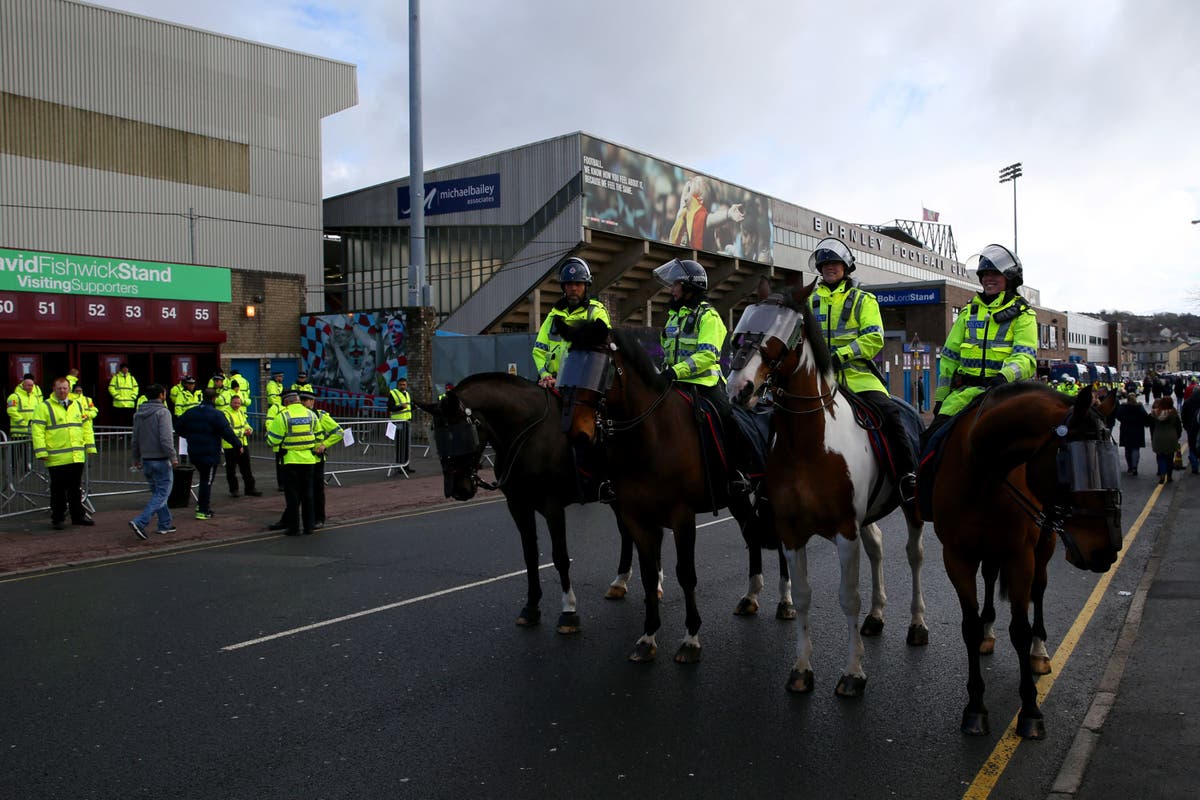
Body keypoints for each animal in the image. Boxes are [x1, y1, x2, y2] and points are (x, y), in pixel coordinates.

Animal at [417, 376, 652, 638]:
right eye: (438, 436)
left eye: (460, 434)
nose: (458, 489)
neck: (529, 434)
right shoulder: (518, 505)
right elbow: (530, 555)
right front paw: (530, 607)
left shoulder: (553, 506)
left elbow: (560, 557)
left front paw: (568, 610)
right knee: (627, 533)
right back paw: (620, 581)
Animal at [554, 319, 796, 662]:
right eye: (568, 364)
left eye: (599, 368)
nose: (576, 434)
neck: (652, 436)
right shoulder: (637, 517)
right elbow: (647, 574)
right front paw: (647, 637)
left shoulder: (682, 516)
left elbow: (686, 574)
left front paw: (691, 638)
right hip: (737, 498)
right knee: (752, 538)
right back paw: (750, 596)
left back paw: (786, 601)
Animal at [720, 284, 926, 695]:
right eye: (741, 327)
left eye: (780, 336)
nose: (740, 388)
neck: (810, 443)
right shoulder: (791, 532)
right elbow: (802, 597)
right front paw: (801, 668)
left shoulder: (845, 531)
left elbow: (849, 599)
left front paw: (853, 672)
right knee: (877, 547)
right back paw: (877, 616)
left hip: (910, 507)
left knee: (914, 556)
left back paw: (916, 624)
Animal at [926, 381, 1123, 738]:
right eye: (1075, 466)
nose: (1107, 551)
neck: (984, 474)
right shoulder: (957, 557)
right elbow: (969, 627)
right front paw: (975, 707)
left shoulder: (1020, 557)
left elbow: (1020, 628)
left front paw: (1030, 710)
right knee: (990, 578)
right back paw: (989, 630)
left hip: (1043, 546)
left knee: (1039, 591)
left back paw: (1039, 651)